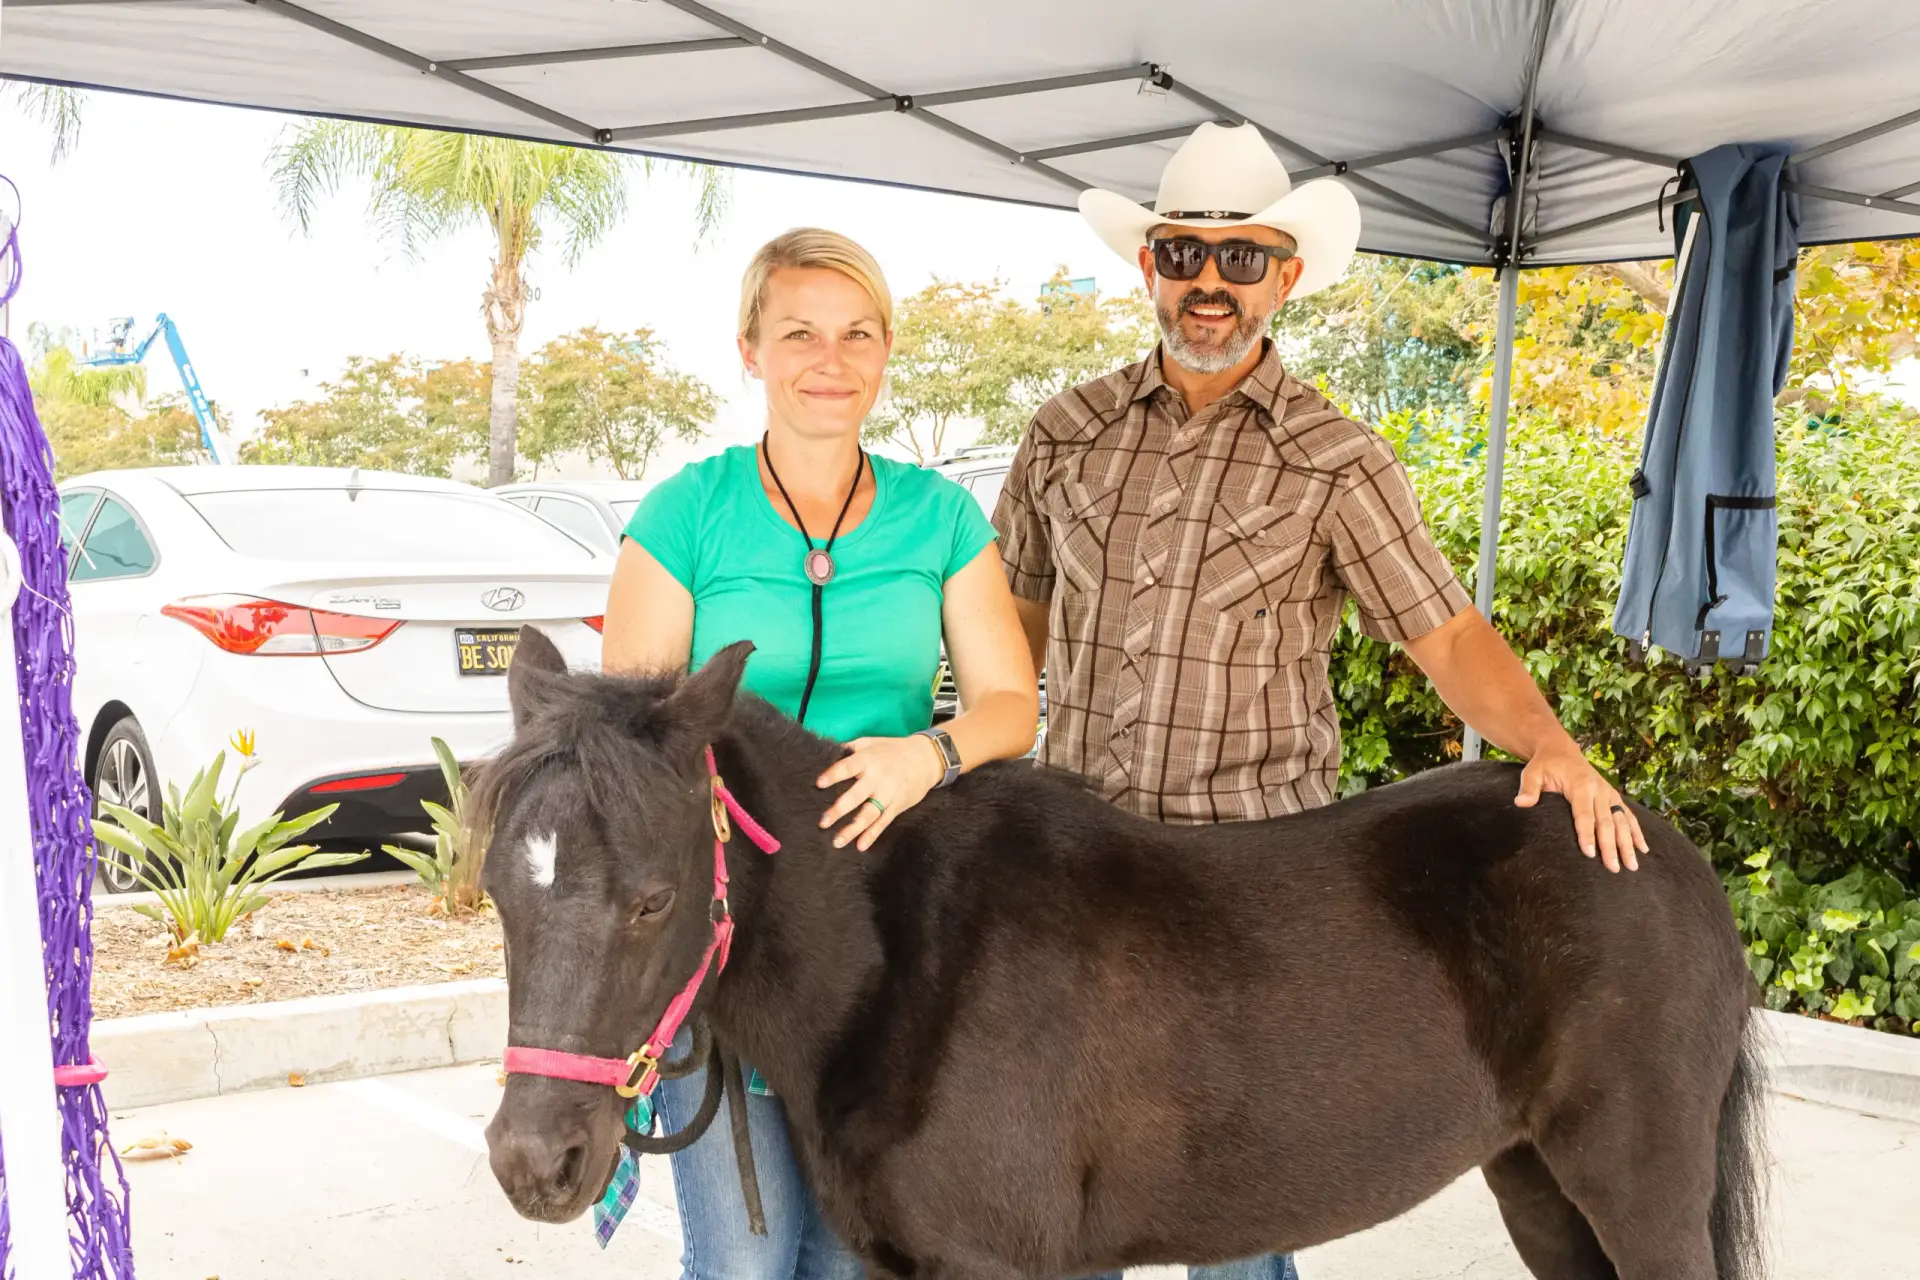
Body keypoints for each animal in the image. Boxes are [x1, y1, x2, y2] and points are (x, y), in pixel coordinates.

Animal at [480, 633, 1766, 1280]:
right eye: (496, 888)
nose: (537, 1160)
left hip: (1639, 1184)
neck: (902, 964)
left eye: (653, 899)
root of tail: (1657, 845)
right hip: (1537, 1179)